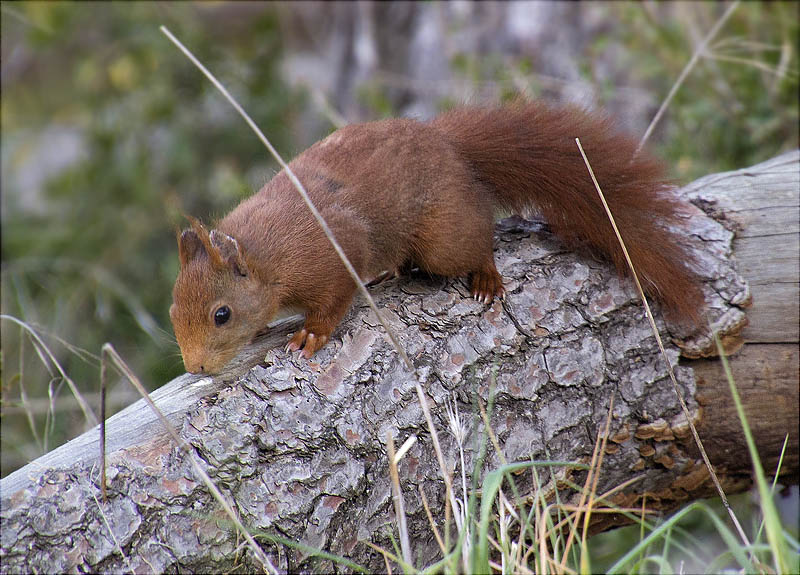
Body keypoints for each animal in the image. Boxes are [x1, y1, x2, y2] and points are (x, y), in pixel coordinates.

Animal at [169, 102, 700, 376]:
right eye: (173, 311)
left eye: (221, 314)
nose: (195, 368)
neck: (266, 257)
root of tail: (449, 147)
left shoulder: (336, 250)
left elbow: (334, 300)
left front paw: (311, 335)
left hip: (445, 235)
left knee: (478, 237)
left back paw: (486, 277)